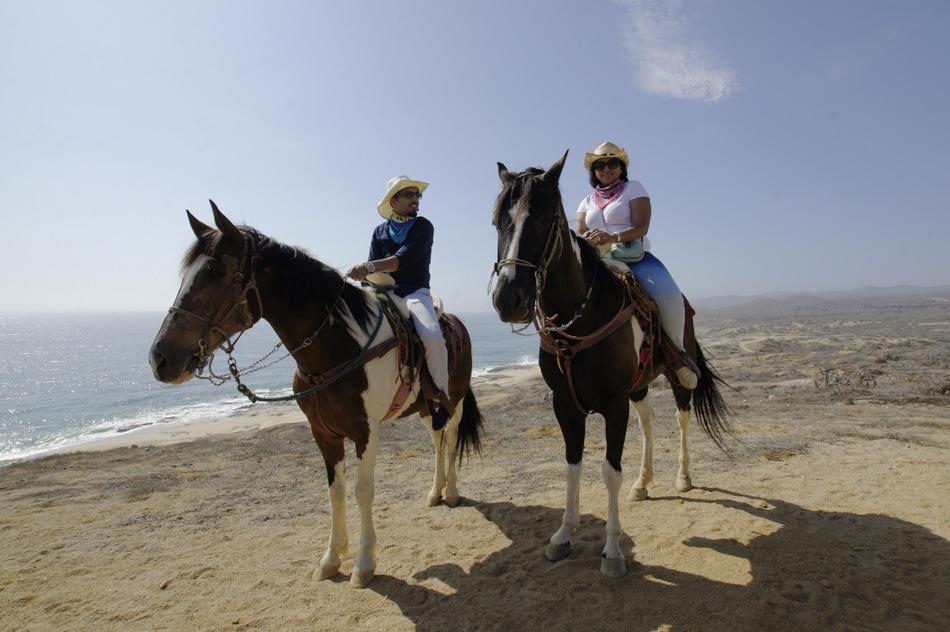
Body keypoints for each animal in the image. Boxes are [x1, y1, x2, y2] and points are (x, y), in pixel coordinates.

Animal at [149, 201, 483, 588]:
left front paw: (364, 564)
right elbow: (335, 491)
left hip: (452, 401)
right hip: (427, 408)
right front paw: (331, 559)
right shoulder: (323, 432)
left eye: (215, 271)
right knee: (437, 440)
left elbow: (363, 491)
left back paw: (453, 492)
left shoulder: (366, 430)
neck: (339, 344)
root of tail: (456, 322)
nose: (160, 358)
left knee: (452, 436)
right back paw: (435, 491)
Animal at [490, 152, 731, 578]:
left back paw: (683, 477)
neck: (582, 316)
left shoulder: (614, 404)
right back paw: (643, 483)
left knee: (683, 417)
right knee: (649, 423)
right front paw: (563, 536)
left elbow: (609, 471)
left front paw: (613, 551)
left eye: (545, 218)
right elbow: (573, 466)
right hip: (639, 385)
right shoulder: (566, 406)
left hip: (676, 376)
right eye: (499, 220)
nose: (508, 298)